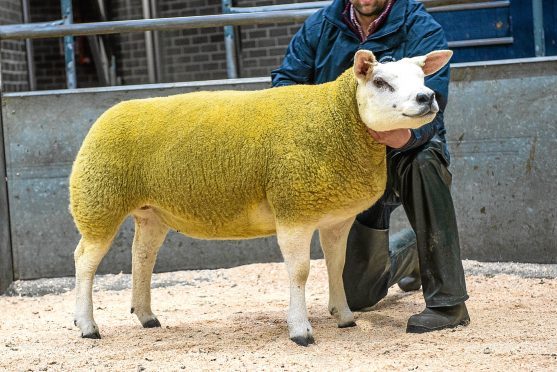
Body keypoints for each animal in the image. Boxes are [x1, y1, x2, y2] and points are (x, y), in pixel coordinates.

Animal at [69, 48, 452, 346]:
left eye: (422, 77)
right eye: (381, 82)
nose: (427, 98)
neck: (336, 120)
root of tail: (107, 115)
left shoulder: (336, 217)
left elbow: (337, 266)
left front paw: (343, 316)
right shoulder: (294, 209)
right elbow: (299, 272)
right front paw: (300, 331)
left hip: (151, 212)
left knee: (142, 257)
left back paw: (146, 316)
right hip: (98, 201)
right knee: (85, 261)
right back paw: (87, 326)